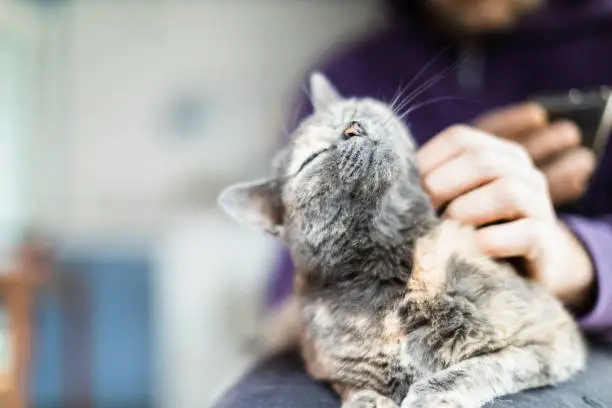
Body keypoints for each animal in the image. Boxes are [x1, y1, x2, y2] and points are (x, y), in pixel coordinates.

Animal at [218, 73, 584, 408]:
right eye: (312, 159)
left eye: (352, 110)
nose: (352, 127)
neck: (395, 280)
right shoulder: (332, 369)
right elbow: (355, 390)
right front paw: (369, 402)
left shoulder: (547, 336)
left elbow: (479, 366)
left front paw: (428, 396)